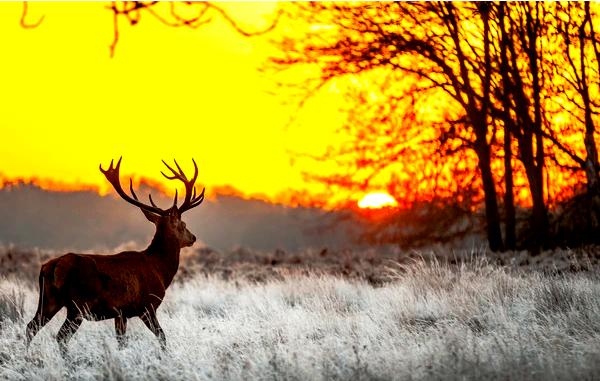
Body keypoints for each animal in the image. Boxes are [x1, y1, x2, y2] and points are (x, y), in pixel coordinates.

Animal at [25, 156, 206, 352]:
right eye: (183, 224)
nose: (193, 237)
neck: (159, 270)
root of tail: (51, 267)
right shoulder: (147, 306)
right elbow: (162, 337)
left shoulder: (121, 313)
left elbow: (121, 342)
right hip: (77, 305)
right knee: (60, 336)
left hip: (48, 300)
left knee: (31, 327)